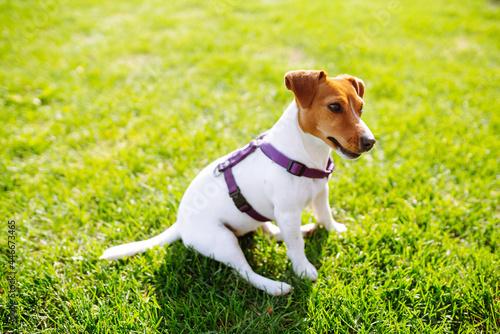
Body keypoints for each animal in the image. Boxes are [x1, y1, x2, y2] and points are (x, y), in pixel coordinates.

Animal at [100, 70, 376, 294]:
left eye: (361, 108)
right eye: (334, 107)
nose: (370, 142)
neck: (305, 155)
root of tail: (179, 225)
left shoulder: (320, 193)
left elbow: (325, 215)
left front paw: (335, 230)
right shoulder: (287, 213)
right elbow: (296, 246)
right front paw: (303, 270)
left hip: (252, 220)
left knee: (269, 233)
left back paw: (301, 230)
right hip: (223, 241)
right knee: (244, 271)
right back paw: (275, 287)